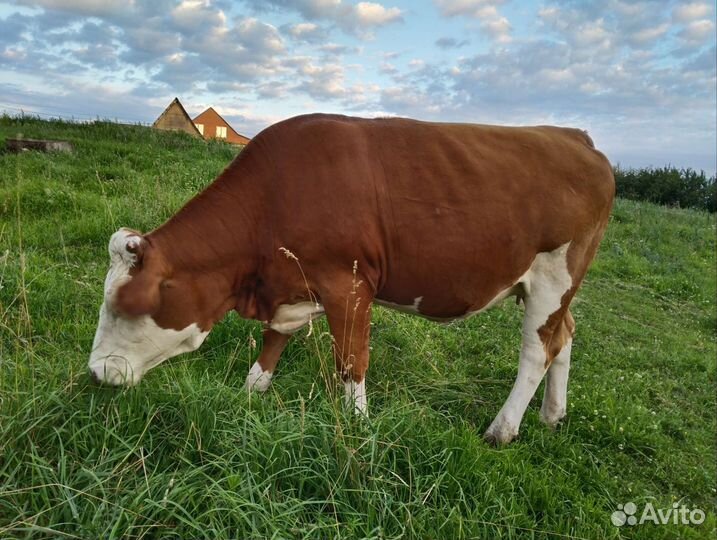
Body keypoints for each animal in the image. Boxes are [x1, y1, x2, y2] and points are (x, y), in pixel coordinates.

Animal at [88, 113, 614, 444]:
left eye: (125, 305)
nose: (94, 374)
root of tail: (575, 137)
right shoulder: (289, 284)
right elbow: (272, 342)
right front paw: (250, 394)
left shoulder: (349, 284)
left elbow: (351, 361)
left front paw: (359, 427)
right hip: (551, 288)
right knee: (564, 336)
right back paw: (552, 415)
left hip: (554, 276)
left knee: (538, 350)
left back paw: (502, 430)